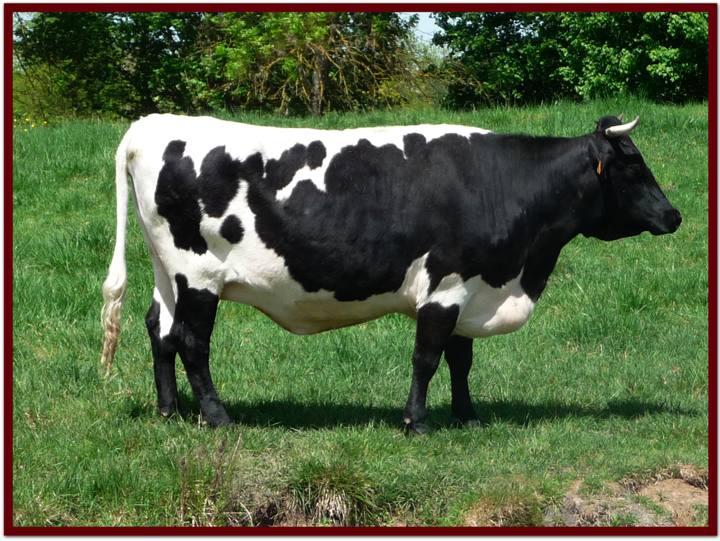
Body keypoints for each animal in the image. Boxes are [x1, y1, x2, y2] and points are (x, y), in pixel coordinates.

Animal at [100, 114, 681, 433]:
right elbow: (428, 358)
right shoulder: (446, 285)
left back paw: (169, 411)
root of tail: (152, 124)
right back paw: (217, 416)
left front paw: (467, 415)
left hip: (168, 272)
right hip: (198, 275)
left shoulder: (470, 288)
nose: (674, 216)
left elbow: (461, 359)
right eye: (632, 167)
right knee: (192, 341)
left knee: (160, 331)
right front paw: (416, 421)